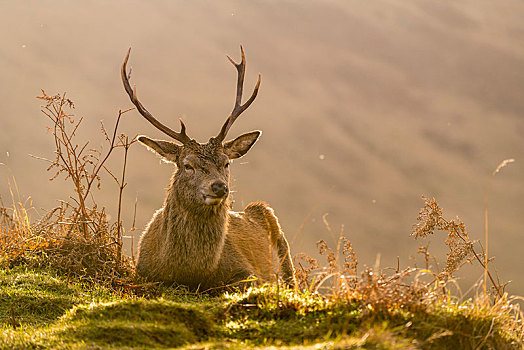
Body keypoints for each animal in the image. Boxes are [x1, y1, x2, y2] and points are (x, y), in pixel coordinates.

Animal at [121, 46, 296, 292]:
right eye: (188, 165)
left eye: (226, 162)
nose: (219, 187)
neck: (191, 273)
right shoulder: (142, 271)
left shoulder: (249, 272)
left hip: (285, 254)